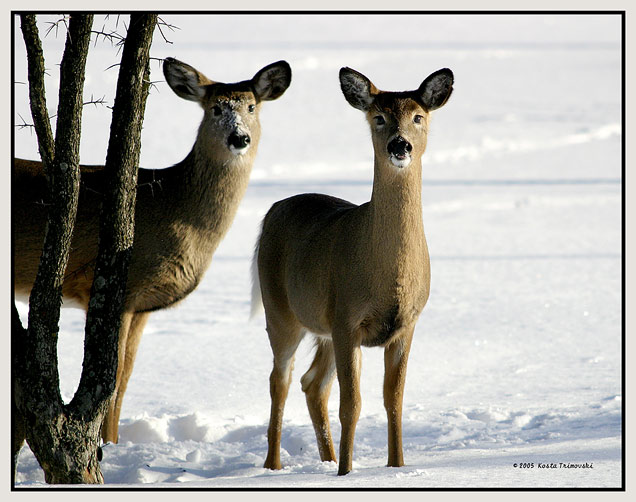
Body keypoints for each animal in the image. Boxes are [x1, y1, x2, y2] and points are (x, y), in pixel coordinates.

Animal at [14, 56, 294, 446]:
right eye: (215, 108)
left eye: (251, 107)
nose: (239, 137)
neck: (173, 206)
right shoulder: (116, 288)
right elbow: (110, 380)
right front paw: (106, 445)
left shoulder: (144, 303)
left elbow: (126, 378)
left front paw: (114, 442)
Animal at [251, 65, 454, 474]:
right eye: (378, 117)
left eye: (418, 117)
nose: (399, 145)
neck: (385, 275)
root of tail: (271, 212)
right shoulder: (348, 318)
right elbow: (352, 405)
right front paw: (347, 473)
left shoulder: (405, 324)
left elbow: (394, 401)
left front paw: (396, 467)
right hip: (280, 309)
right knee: (280, 379)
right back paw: (275, 466)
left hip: (324, 327)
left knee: (312, 383)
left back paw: (326, 459)